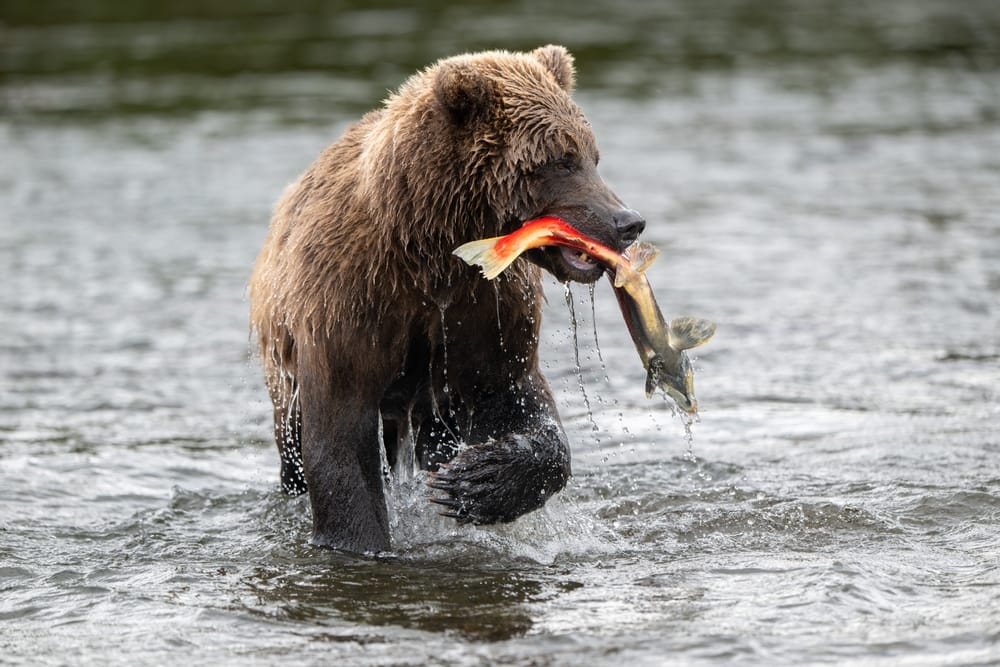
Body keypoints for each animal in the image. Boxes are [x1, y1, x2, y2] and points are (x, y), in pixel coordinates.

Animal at [249, 45, 645, 553]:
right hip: (284, 374)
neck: (432, 247)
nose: (627, 221)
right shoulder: (351, 301)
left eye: (592, 155)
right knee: (295, 452)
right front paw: (363, 540)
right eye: (560, 159)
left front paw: (475, 483)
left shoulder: (486, 308)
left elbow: (518, 399)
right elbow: (341, 439)